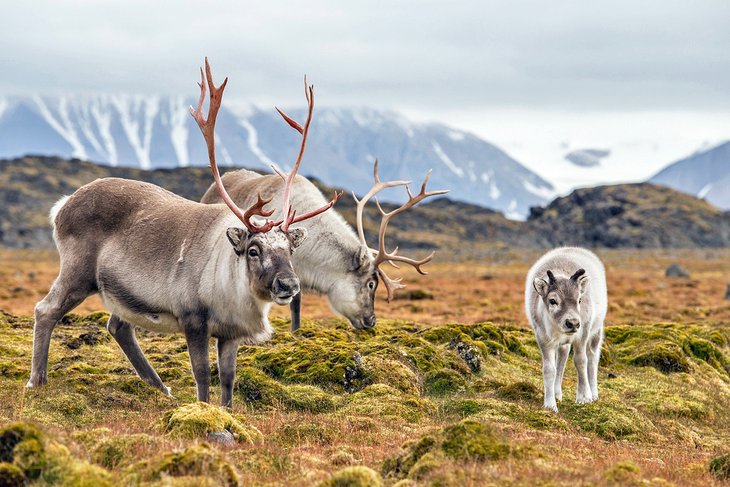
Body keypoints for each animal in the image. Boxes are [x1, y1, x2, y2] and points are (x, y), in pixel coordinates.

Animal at [520, 248, 604, 412]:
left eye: (579, 299)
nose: (572, 323)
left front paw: (584, 397)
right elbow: (549, 369)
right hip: (563, 343)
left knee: (592, 358)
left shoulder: (582, 335)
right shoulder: (543, 338)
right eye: (553, 300)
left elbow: (581, 361)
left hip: (596, 331)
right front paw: (550, 404)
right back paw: (557, 393)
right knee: (563, 357)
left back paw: (594, 393)